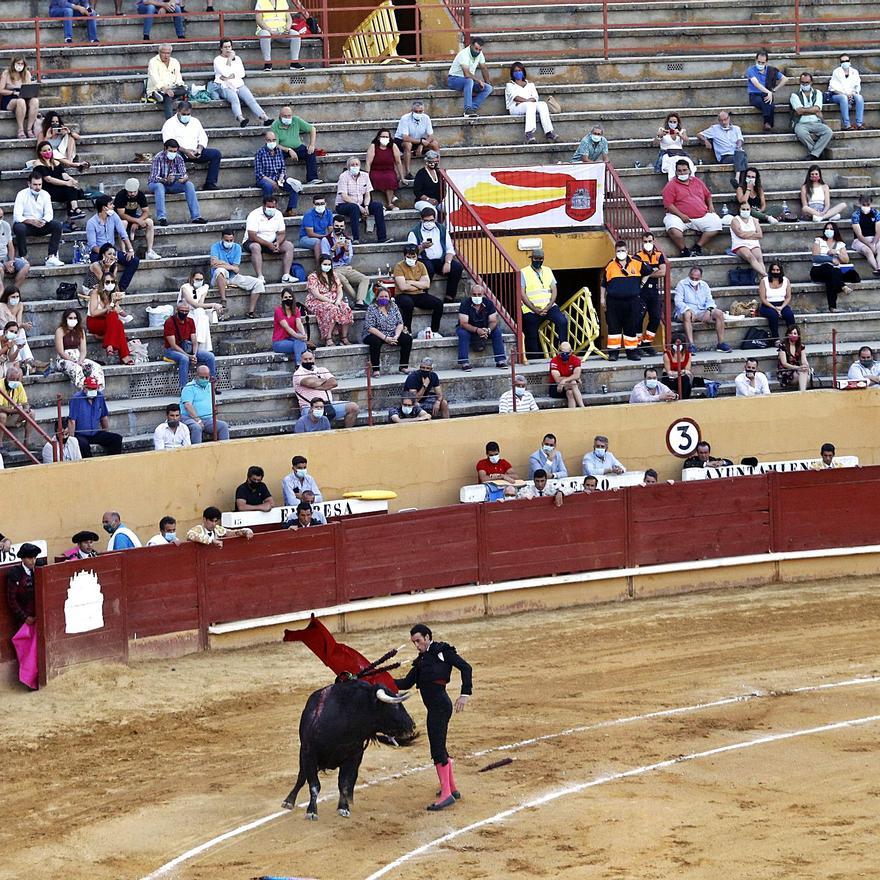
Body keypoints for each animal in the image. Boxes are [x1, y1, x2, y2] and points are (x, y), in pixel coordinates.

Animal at [284, 680, 418, 820]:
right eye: (395, 706)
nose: (412, 725)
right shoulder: (309, 753)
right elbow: (314, 784)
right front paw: (311, 811)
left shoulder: (354, 756)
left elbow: (344, 783)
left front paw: (344, 808)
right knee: (301, 777)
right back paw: (289, 801)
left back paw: (349, 800)